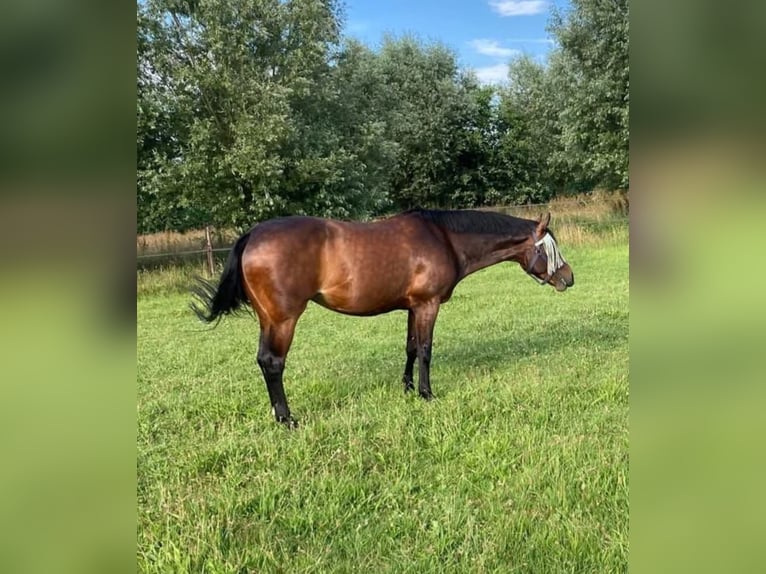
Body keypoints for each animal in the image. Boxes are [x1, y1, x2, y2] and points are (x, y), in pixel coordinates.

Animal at [192, 209, 574, 427]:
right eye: (550, 249)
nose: (568, 278)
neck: (444, 237)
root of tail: (253, 234)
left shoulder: (412, 307)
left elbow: (410, 348)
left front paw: (407, 388)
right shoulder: (428, 305)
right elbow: (426, 350)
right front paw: (426, 393)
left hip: (267, 319)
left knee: (262, 360)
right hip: (284, 319)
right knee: (273, 363)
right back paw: (286, 419)